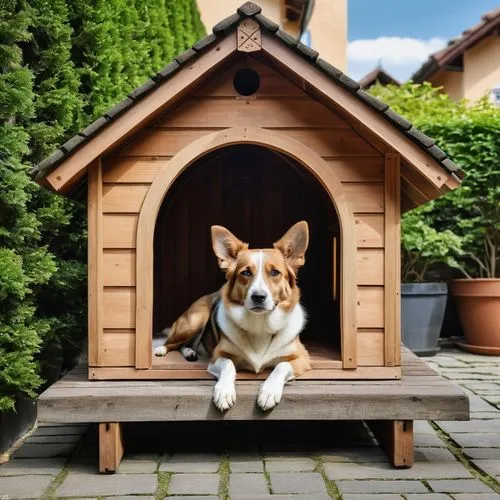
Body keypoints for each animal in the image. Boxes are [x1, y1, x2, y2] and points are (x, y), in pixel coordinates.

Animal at [154, 223, 310, 410]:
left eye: (274, 272)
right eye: (246, 273)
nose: (258, 297)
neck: (259, 324)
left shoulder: (303, 358)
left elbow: (281, 365)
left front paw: (269, 392)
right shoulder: (217, 357)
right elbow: (229, 364)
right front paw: (224, 392)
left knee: (186, 345)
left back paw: (190, 352)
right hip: (195, 320)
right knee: (172, 342)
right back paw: (162, 349)